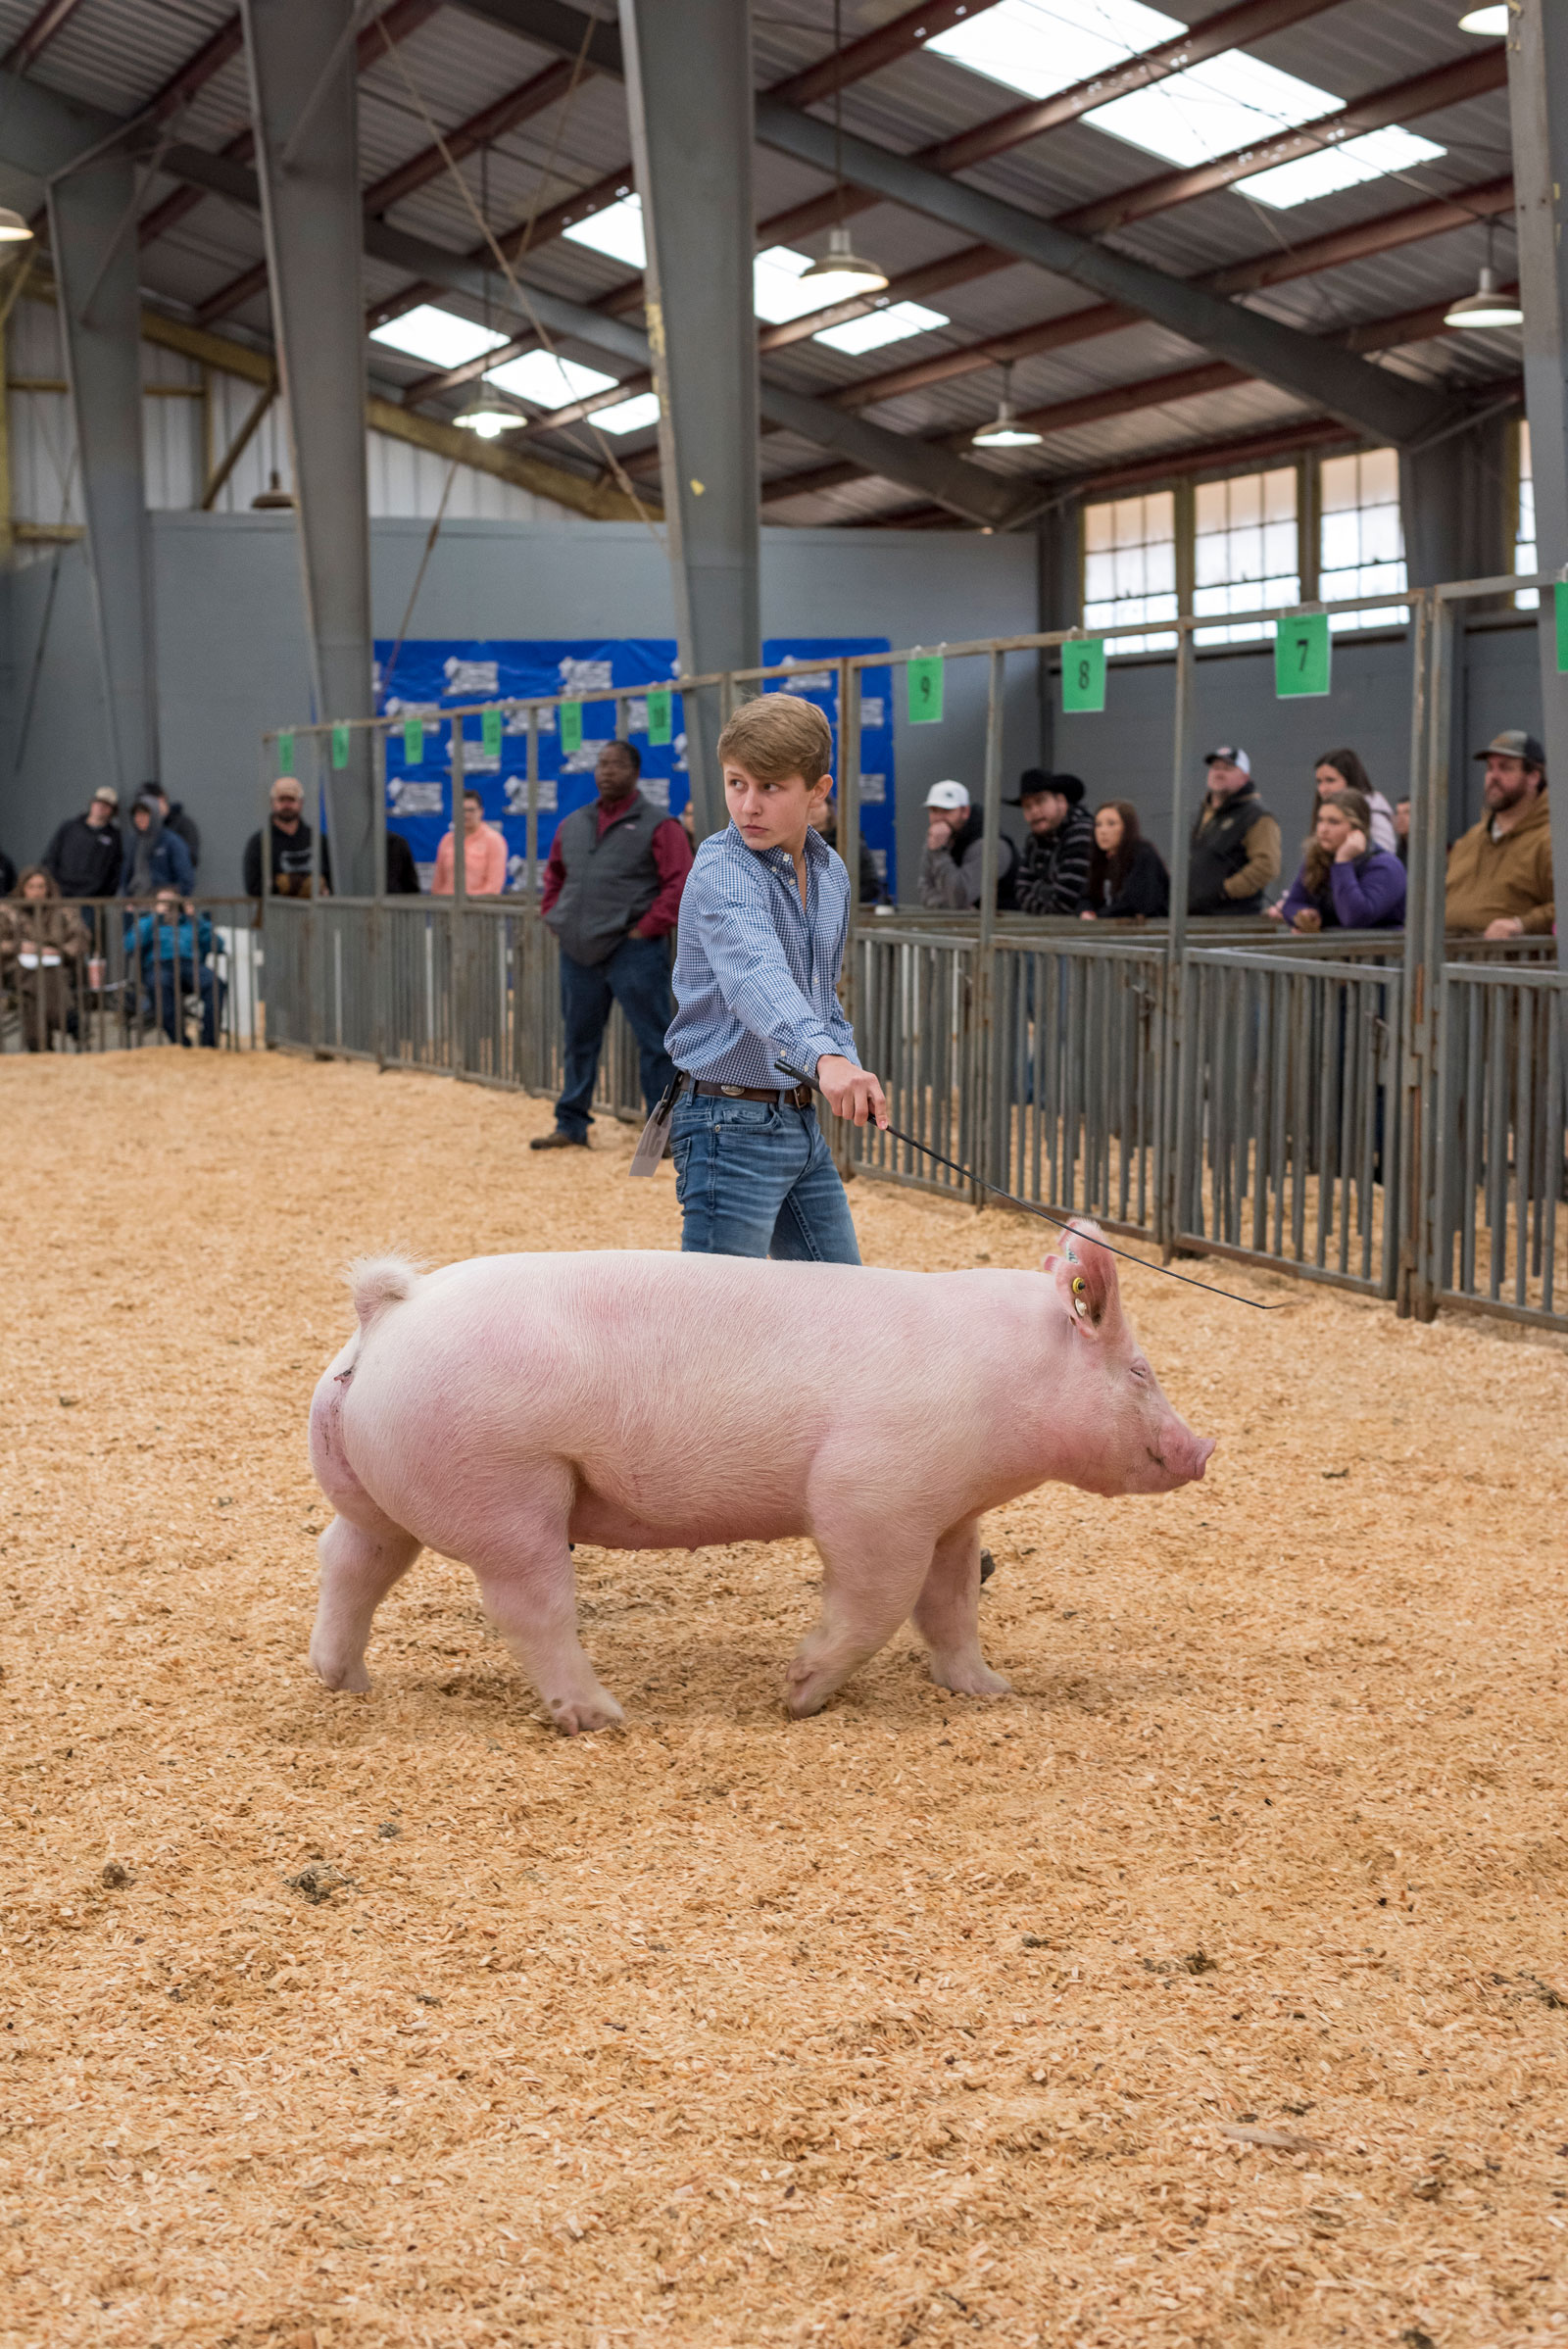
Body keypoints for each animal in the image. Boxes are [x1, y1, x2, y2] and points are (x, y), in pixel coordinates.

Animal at [302, 1221, 1210, 1737]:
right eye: (1138, 1369)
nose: (1203, 1448)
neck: (1001, 1382)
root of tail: (390, 1309)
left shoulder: (950, 1512)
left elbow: (950, 1604)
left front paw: (990, 1690)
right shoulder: (872, 1494)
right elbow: (876, 1600)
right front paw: (798, 1698)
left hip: (377, 1492)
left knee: (349, 1558)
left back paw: (347, 1681)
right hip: (508, 1491)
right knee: (530, 1606)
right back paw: (601, 1716)